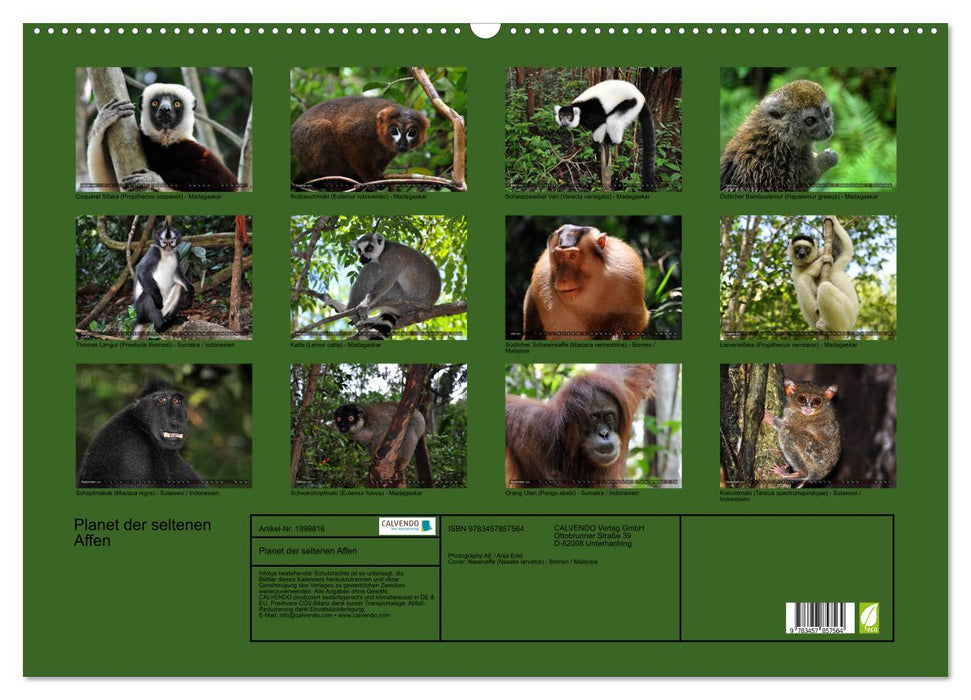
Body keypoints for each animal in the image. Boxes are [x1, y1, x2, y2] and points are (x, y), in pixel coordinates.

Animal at [86, 83, 240, 192]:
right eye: (155, 103)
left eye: (176, 103)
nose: (165, 109)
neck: (166, 141)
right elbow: (108, 183)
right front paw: (104, 119)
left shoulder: (197, 150)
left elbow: (225, 183)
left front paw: (152, 180)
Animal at [291, 96, 429, 187]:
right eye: (393, 131)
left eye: (412, 133)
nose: (402, 145)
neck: (377, 133)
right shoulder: (363, 126)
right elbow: (345, 135)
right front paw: (371, 177)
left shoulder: (389, 150)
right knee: (322, 127)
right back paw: (329, 179)